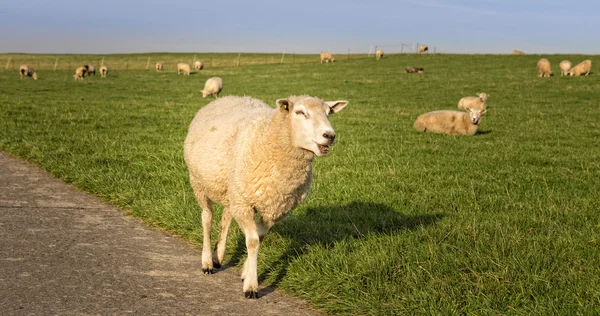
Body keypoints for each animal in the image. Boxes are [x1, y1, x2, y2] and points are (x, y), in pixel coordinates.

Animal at [185, 95, 350, 298]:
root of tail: (227, 97)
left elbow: (259, 238)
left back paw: (219, 256)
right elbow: (253, 241)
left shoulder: (274, 208)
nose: (330, 136)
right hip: (200, 183)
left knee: (226, 216)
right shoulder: (245, 204)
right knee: (207, 218)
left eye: (329, 113)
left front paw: (246, 273)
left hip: (232, 188)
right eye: (300, 112)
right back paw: (207, 262)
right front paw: (251, 286)